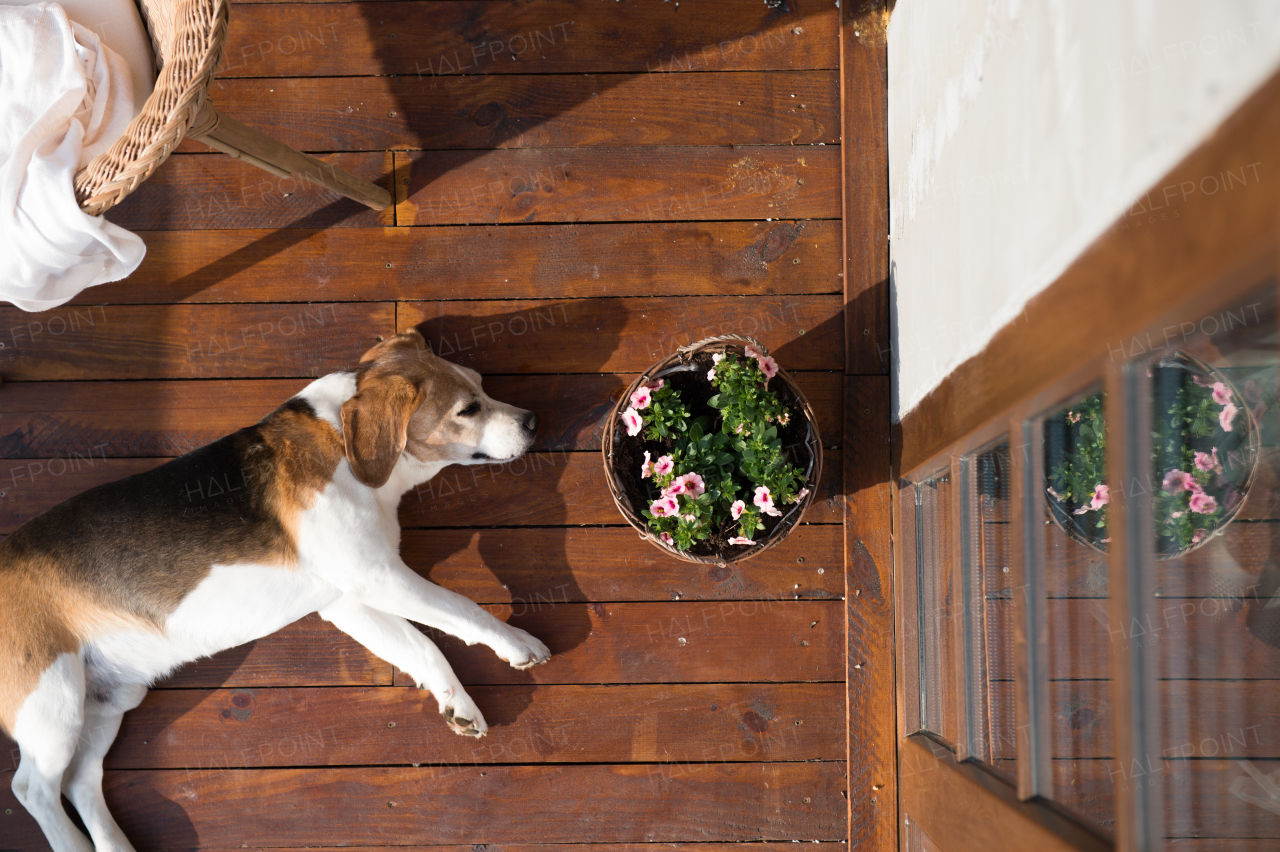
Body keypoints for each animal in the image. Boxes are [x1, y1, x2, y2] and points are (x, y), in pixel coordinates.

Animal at [0, 330, 545, 849]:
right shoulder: (378, 576)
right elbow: (462, 609)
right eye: (468, 409)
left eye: (482, 384)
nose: (533, 421)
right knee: (34, 789)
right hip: (53, 700)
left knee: (80, 783)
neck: (343, 442)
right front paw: (516, 643)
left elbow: (425, 647)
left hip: (110, 699)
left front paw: (458, 704)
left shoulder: (348, 600)